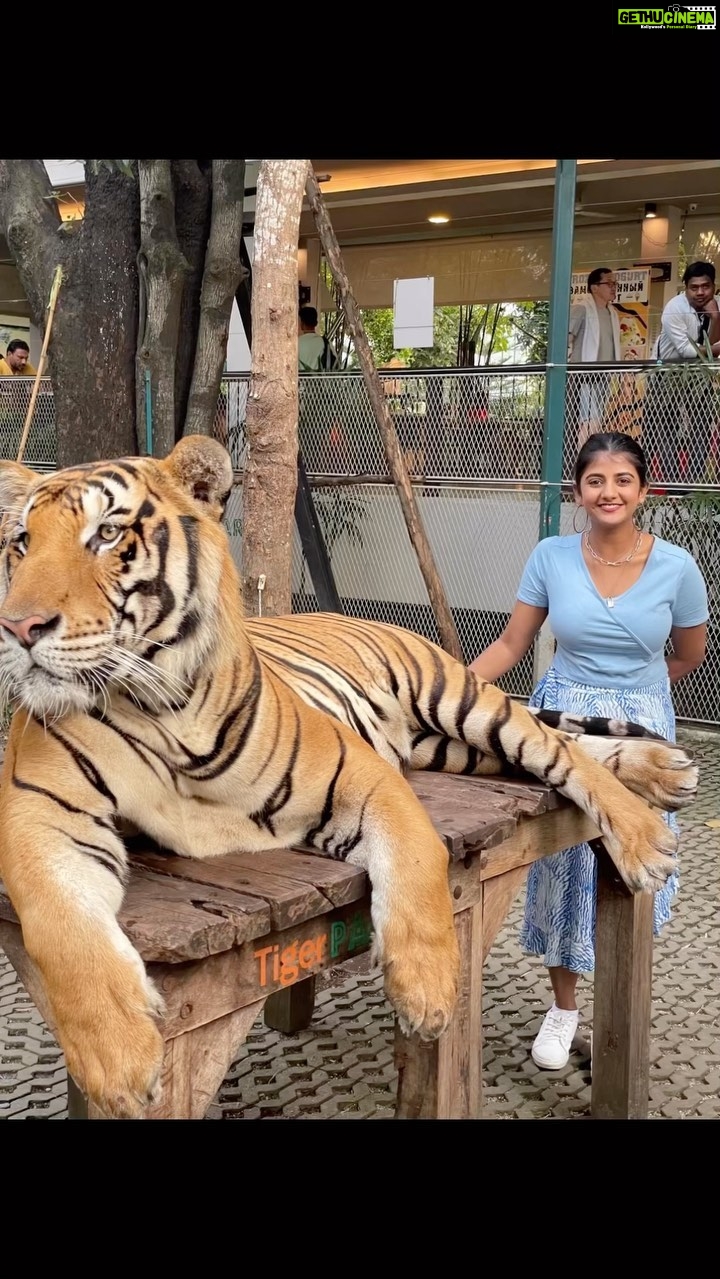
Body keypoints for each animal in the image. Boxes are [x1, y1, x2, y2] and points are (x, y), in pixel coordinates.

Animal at [0, 439, 700, 1120]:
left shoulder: (358, 771)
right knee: (567, 744)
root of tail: (365, 617)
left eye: (107, 534)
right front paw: (117, 1062)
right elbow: (64, 930)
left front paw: (429, 991)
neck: (159, 708)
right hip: (453, 749)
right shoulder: (39, 816)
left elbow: (417, 857)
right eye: (22, 542)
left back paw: (648, 833)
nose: (19, 628)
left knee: (556, 748)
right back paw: (664, 770)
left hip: (460, 699)